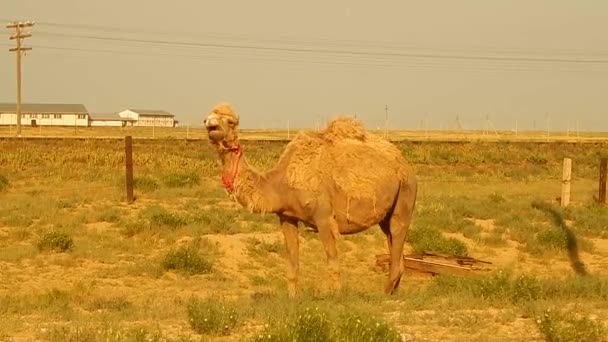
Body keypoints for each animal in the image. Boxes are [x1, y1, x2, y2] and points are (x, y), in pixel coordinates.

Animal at [204, 102, 418, 296]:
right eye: (207, 117)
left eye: (230, 121)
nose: (210, 124)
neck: (280, 182)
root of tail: (404, 163)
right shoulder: (286, 217)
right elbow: (292, 264)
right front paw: (292, 298)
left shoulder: (324, 218)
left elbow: (333, 262)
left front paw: (336, 298)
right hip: (387, 213)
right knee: (391, 239)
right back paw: (392, 291)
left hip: (406, 193)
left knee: (397, 230)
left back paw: (386, 293)